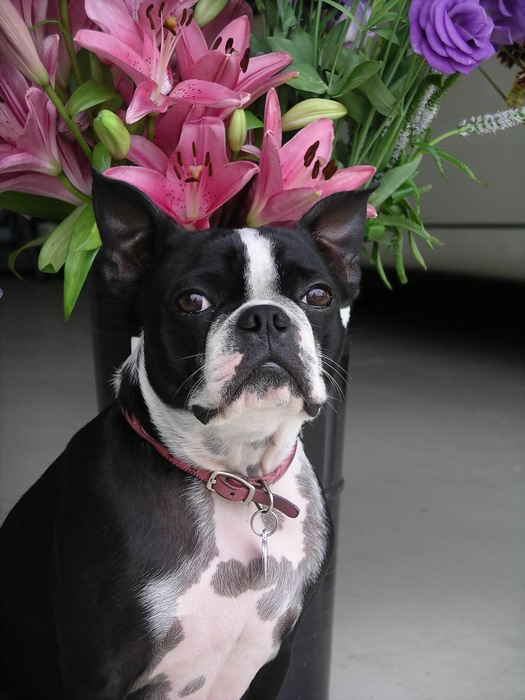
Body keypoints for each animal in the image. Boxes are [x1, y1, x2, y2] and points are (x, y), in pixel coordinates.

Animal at [1, 171, 372, 700]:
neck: (238, 477)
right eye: (192, 301)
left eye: (318, 296)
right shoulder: (97, 669)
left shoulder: (274, 660)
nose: (266, 316)